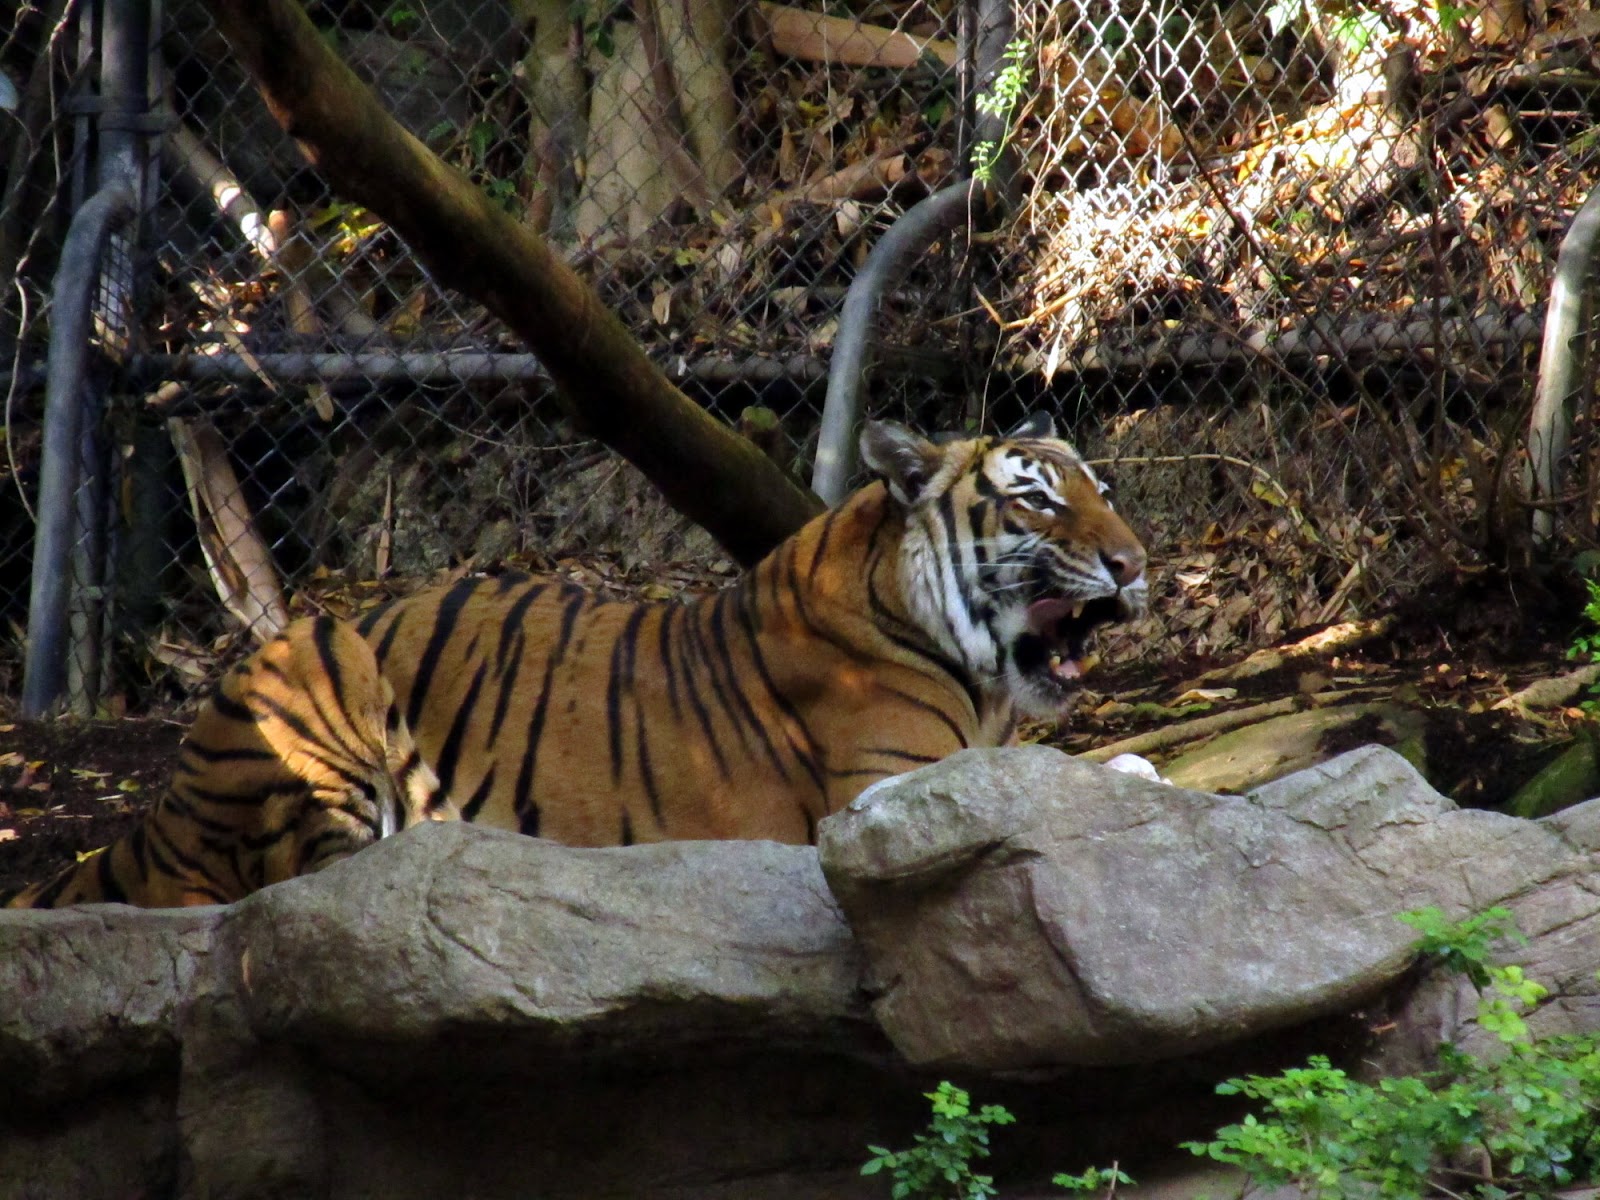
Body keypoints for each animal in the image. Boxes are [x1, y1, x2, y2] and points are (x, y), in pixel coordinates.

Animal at [5, 415, 1147, 908]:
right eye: (1037, 500)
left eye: (1100, 488)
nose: (1136, 565)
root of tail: (154, 818)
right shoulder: (890, 785)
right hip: (322, 663)